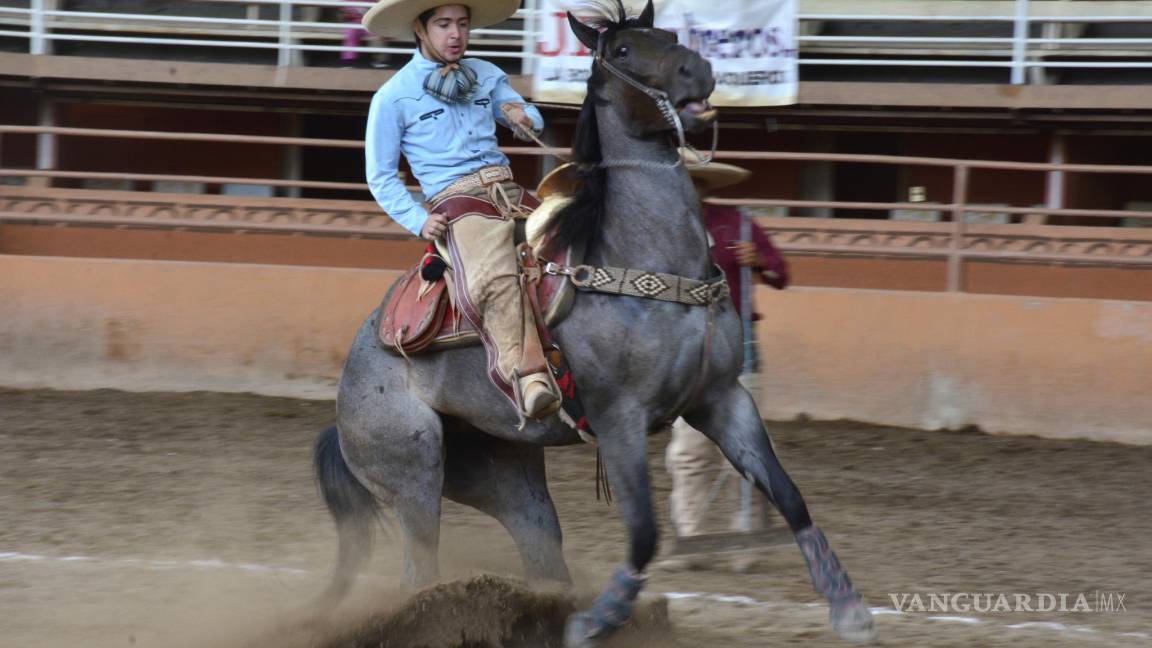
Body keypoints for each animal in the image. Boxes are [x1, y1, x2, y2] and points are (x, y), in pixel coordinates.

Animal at [311, 1, 875, 641]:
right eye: (624, 51)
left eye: (670, 34)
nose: (701, 69)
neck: (645, 259)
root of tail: (353, 373)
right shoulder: (619, 419)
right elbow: (646, 532)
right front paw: (598, 621)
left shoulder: (722, 398)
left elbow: (790, 495)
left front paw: (848, 607)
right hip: (415, 471)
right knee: (418, 573)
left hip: (504, 471)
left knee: (538, 546)